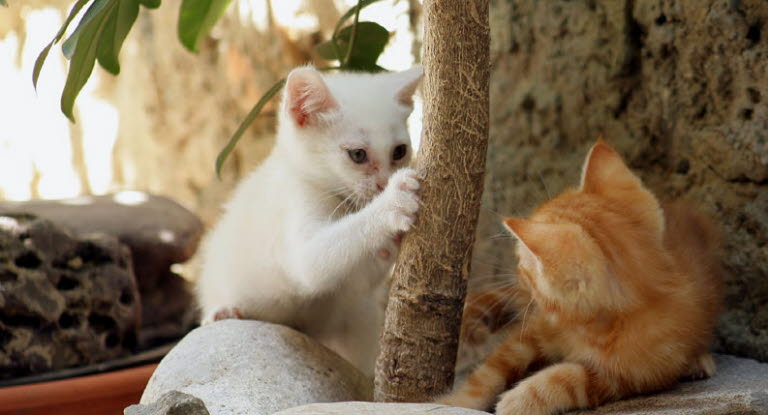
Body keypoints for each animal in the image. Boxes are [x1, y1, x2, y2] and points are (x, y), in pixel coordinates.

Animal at [195, 66, 424, 376]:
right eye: (358, 155)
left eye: (399, 151)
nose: (382, 184)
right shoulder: (293, 213)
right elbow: (318, 262)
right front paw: (393, 202)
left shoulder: (353, 291)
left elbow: (359, 276)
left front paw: (392, 241)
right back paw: (223, 312)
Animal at [440, 141, 724, 415]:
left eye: (523, 263)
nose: (518, 273)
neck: (589, 330)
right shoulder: (536, 329)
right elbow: (492, 369)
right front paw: (457, 402)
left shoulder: (637, 374)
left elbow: (572, 379)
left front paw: (520, 399)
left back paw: (699, 360)